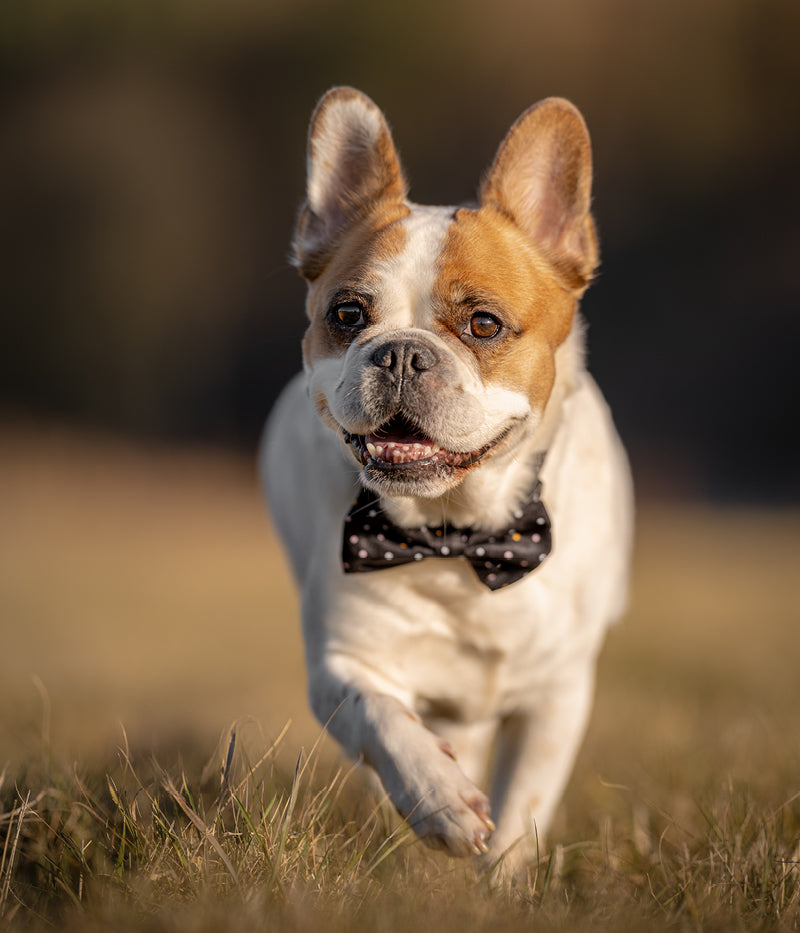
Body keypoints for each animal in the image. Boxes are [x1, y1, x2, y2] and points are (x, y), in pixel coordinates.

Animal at [260, 87, 632, 868]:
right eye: (347, 314)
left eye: (484, 325)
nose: (400, 353)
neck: (454, 532)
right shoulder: (342, 664)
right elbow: (382, 720)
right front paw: (439, 799)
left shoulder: (555, 699)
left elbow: (524, 806)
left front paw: (504, 874)